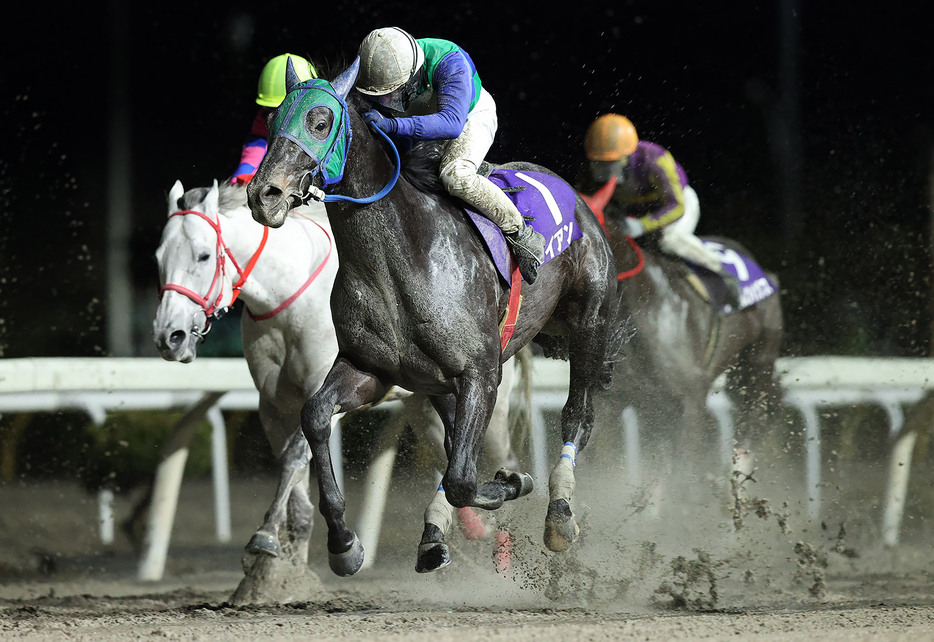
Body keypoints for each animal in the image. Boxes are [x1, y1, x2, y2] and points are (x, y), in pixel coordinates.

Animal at [150, 179, 524, 596]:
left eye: (202, 256)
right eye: (158, 257)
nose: (169, 336)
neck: (287, 302)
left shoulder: (325, 386)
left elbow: (295, 455)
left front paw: (265, 537)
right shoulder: (272, 405)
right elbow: (293, 479)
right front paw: (283, 574)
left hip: (488, 403)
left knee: (503, 460)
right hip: (427, 406)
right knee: (451, 452)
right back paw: (441, 540)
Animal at [247, 57, 620, 572]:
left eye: (320, 122)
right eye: (270, 123)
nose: (263, 195)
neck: (398, 261)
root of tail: (575, 196)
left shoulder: (481, 373)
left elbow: (464, 477)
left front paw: (512, 484)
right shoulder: (371, 369)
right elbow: (316, 415)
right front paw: (344, 544)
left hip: (589, 322)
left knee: (577, 417)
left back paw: (559, 515)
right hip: (438, 382)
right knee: (449, 444)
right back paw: (433, 536)